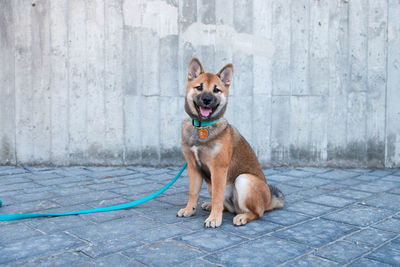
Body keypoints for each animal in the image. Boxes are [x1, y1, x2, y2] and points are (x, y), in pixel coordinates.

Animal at [177, 57, 284, 228]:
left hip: (243, 180)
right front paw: (189, 209)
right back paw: (210, 206)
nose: (207, 100)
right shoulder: (193, 167)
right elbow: (193, 192)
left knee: (257, 213)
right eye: (199, 87)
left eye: (216, 90)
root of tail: (268, 201)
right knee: (226, 206)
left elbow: (217, 196)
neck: (202, 126)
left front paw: (214, 219)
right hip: (211, 183)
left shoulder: (218, 169)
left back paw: (242, 217)